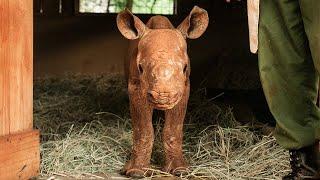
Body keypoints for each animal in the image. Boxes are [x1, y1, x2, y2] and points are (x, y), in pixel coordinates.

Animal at [116, 6, 209, 178]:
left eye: (185, 67)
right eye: (140, 68)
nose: (163, 97)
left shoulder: (183, 87)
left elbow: (173, 129)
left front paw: (180, 170)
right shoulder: (136, 87)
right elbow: (143, 130)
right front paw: (136, 172)